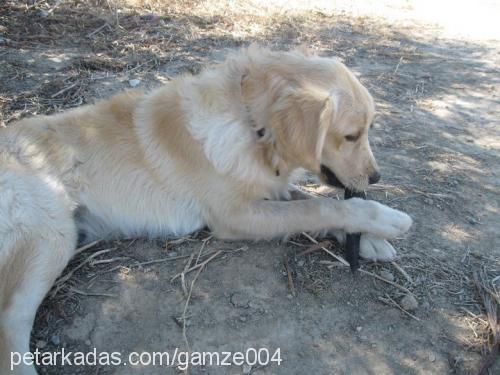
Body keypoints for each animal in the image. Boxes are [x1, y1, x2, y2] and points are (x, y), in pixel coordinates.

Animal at [0, 44, 410, 374]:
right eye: (351, 135)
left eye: (368, 130)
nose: (376, 177)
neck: (252, 125)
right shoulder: (234, 215)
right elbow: (319, 209)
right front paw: (383, 218)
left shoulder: (270, 189)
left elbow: (312, 201)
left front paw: (369, 241)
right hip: (50, 233)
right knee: (9, 326)